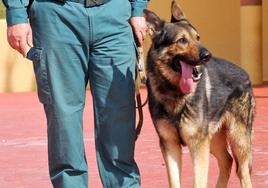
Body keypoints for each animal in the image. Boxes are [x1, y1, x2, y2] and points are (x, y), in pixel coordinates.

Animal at [144, 0, 255, 187]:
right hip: (213, 138)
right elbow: (174, 181)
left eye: (197, 37)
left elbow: (199, 181)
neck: (176, 92)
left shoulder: (197, 145)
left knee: (243, 172)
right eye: (182, 40)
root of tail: (245, 73)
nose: (207, 55)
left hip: (236, 139)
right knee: (227, 160)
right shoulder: (170, 145)